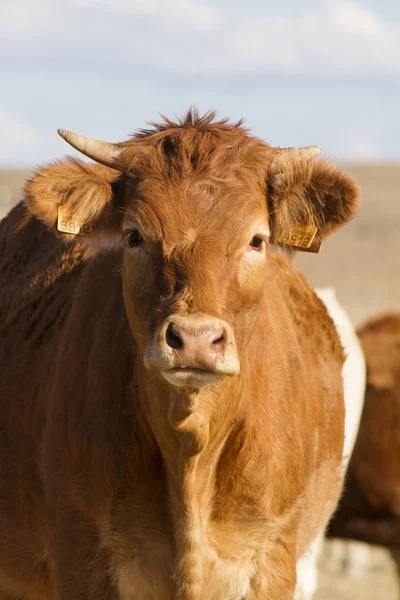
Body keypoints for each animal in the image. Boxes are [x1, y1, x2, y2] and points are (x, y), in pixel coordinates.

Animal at [0, 110, 360, 596]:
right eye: (134, 236)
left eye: (257, 240)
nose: (195, 339)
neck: (192, 458)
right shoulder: (80, 557)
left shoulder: (274, 560)